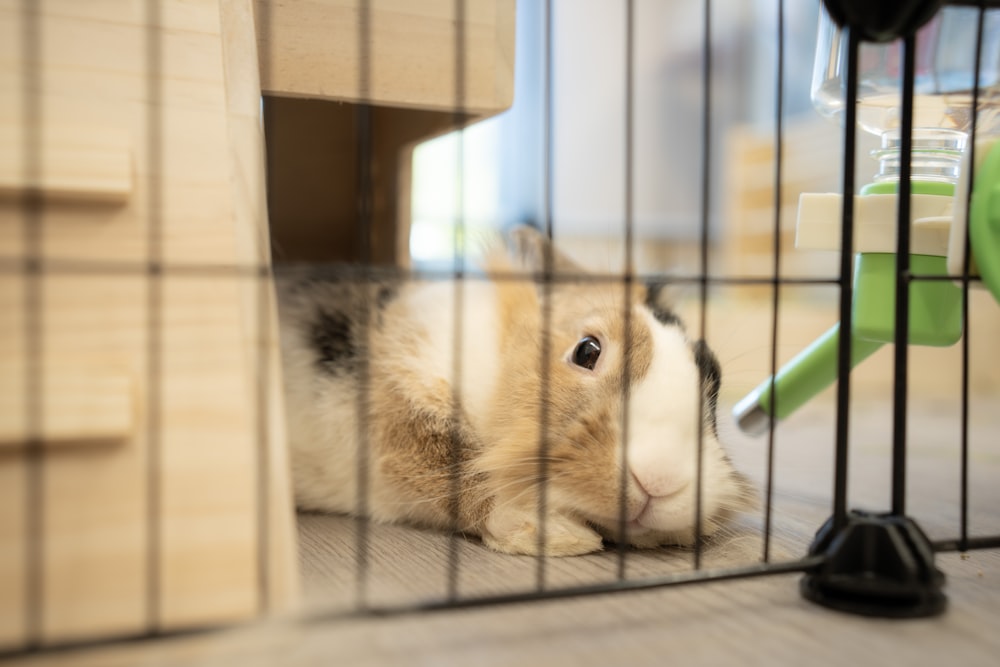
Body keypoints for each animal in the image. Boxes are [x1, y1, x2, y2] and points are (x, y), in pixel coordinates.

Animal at [274, 227, 752, 556]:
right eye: (587, 350)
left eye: (713, 375)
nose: (661, 480)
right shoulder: (399, 413)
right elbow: (456, 470)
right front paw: (555, 534)